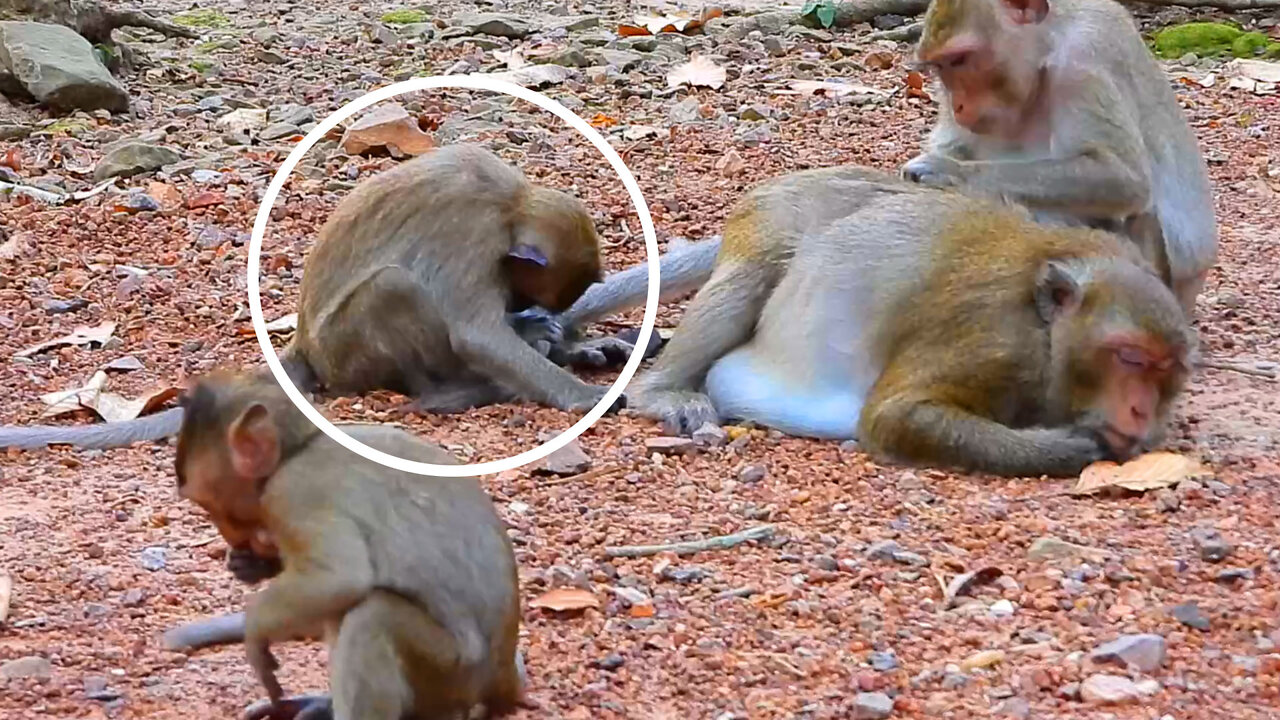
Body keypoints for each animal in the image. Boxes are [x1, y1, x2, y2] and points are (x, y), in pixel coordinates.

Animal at [901, 0, 1218, 313]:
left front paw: (948, 171)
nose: (959, 105)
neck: (1047, 45)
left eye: (960, 60)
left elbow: (1124, 179)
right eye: (941, 66)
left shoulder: (1082, 65)